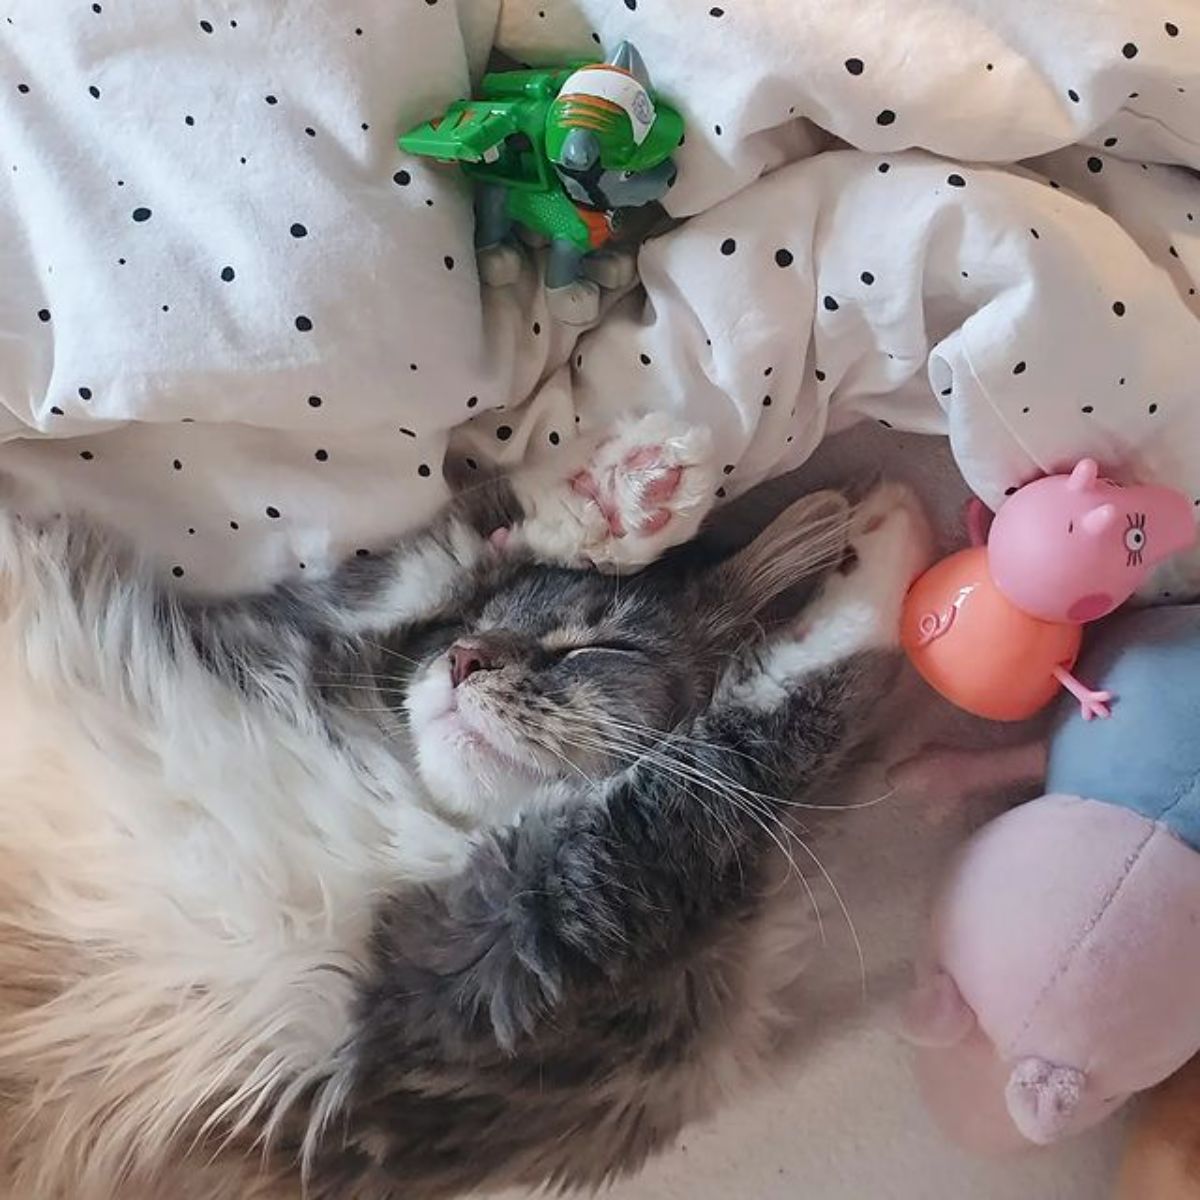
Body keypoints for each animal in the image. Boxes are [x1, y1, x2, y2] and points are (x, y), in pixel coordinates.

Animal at [0, 417, 931, 1195]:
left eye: (593, 645)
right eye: (468, 632)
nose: (464, 662)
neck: (432, 820)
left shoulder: (488, 964)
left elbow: (734, 753)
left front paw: (885, 560)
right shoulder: (287, 629)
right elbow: (438, 551)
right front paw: (625, 493)